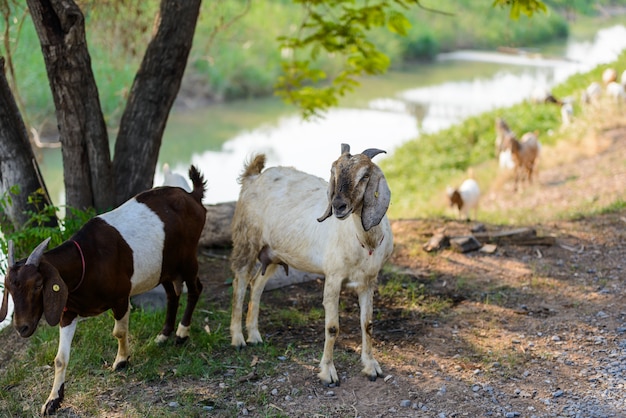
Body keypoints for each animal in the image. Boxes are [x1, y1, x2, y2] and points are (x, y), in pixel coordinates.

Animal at [1, 165, 208, 416]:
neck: (87, 262)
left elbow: (118, 332)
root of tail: (192, 196)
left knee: (195, 288)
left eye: (38, 285)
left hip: (187, 258)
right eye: (9, 288)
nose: (21, 328)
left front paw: (121, 361)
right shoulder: (68, 311)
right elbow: (60, 358)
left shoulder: (121, 298)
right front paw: (53, 400)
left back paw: (181, 334)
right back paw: (163, 335)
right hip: (164, 267)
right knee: (172, 294)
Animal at [229, 144, 392, 386]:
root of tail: (253, 177)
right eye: (334, 173)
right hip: (246, 240)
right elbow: (332, 327)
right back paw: (238, 339)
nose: (338, 206)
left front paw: (371, 367)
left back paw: (255, 335)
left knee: (256, 284)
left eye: (364, 176)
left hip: (274, 254)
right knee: (239, 283)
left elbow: (368, 323)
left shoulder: (369, 281)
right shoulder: (333, 277)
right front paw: (328, 372)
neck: (364, 242)